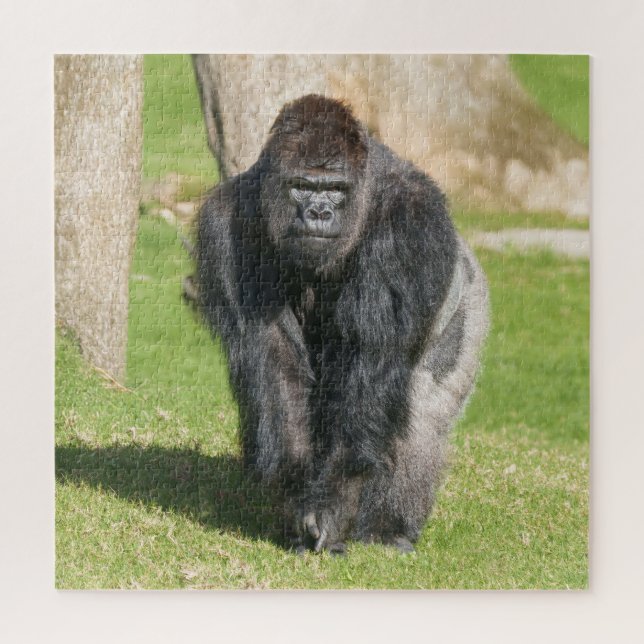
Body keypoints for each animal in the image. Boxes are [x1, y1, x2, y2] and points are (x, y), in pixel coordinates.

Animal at [197, 95, 489, 553]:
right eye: (303, 185)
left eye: (335, 190)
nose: (318, 212)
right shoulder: (227, 223)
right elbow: (275, 367)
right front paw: (300, 498)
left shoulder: (408, 222)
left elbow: (372, 366)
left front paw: (333, 501)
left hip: (469, 298)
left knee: (420, 414)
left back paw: (389, 530)